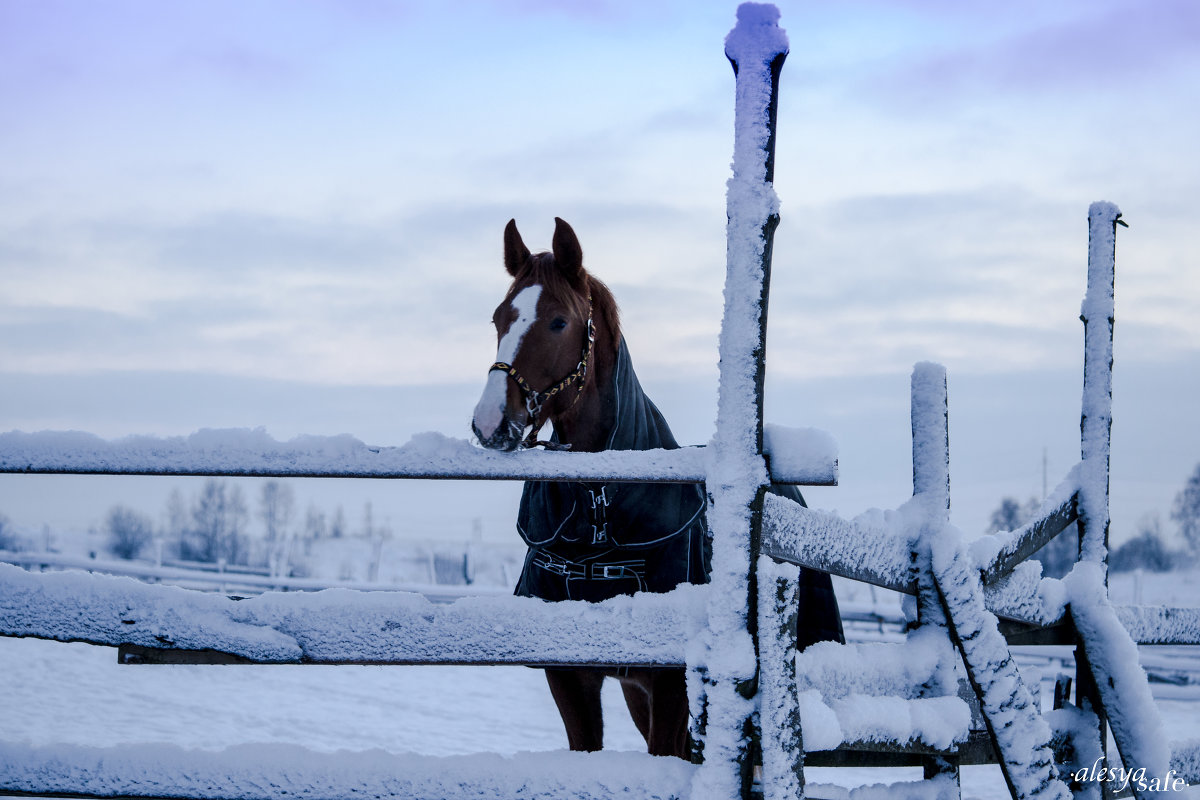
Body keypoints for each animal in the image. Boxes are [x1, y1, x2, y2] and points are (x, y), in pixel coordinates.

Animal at [468, 217, 844, 758]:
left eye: (558, 322)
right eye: (499, 318)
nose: (490, 421)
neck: (601, 517)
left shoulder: (671, 686)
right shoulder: (570, 677)